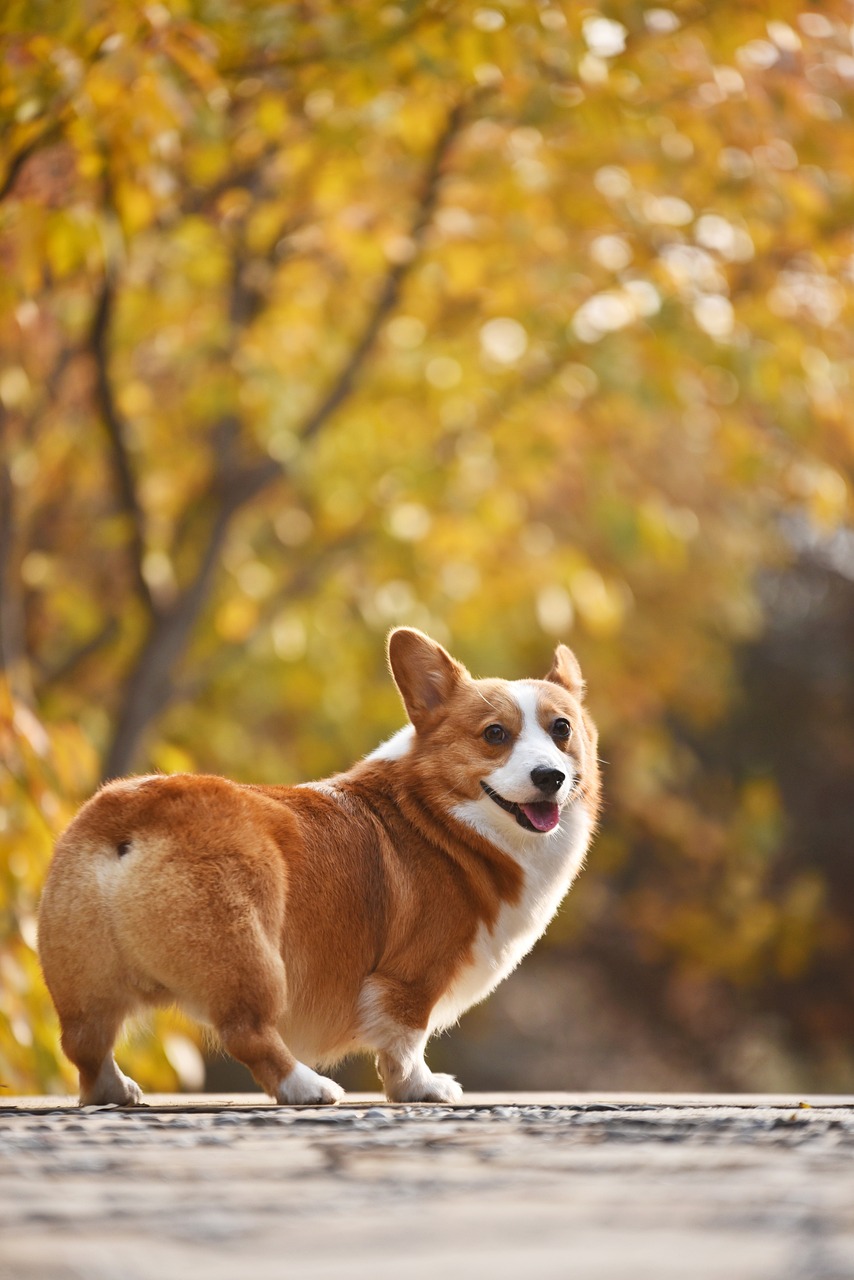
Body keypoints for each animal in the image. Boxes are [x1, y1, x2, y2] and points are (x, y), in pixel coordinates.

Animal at [38, 624, 601, 1105]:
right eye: (494, 734)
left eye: (562, 729)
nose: (550, 777)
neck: (441, 817)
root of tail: (136, 807)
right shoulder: (410, 979)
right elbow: (404, 1042)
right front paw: (420, 1088)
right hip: (250, 954)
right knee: (247, 1032)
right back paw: (307, 1087)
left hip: (83, 975)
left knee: (84, 1044)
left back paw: (114, 1091)